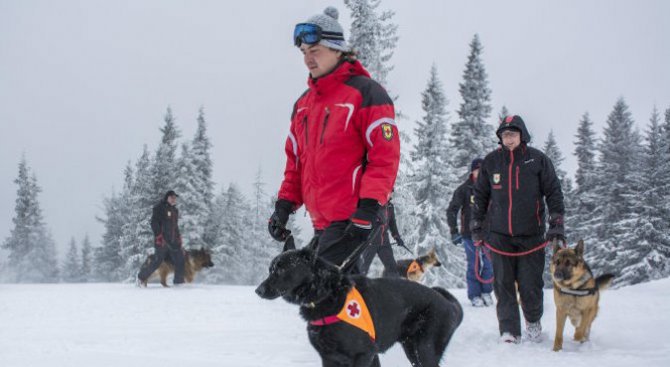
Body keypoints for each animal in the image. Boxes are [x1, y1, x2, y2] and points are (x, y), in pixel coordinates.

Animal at [255, 247, 464, 367]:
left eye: (281, 269)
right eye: (270, 270)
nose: (258, 290)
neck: (327, 294)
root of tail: (450, 304)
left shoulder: (364, 355)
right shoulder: (330, 359)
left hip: (424, 350)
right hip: (412, 350)